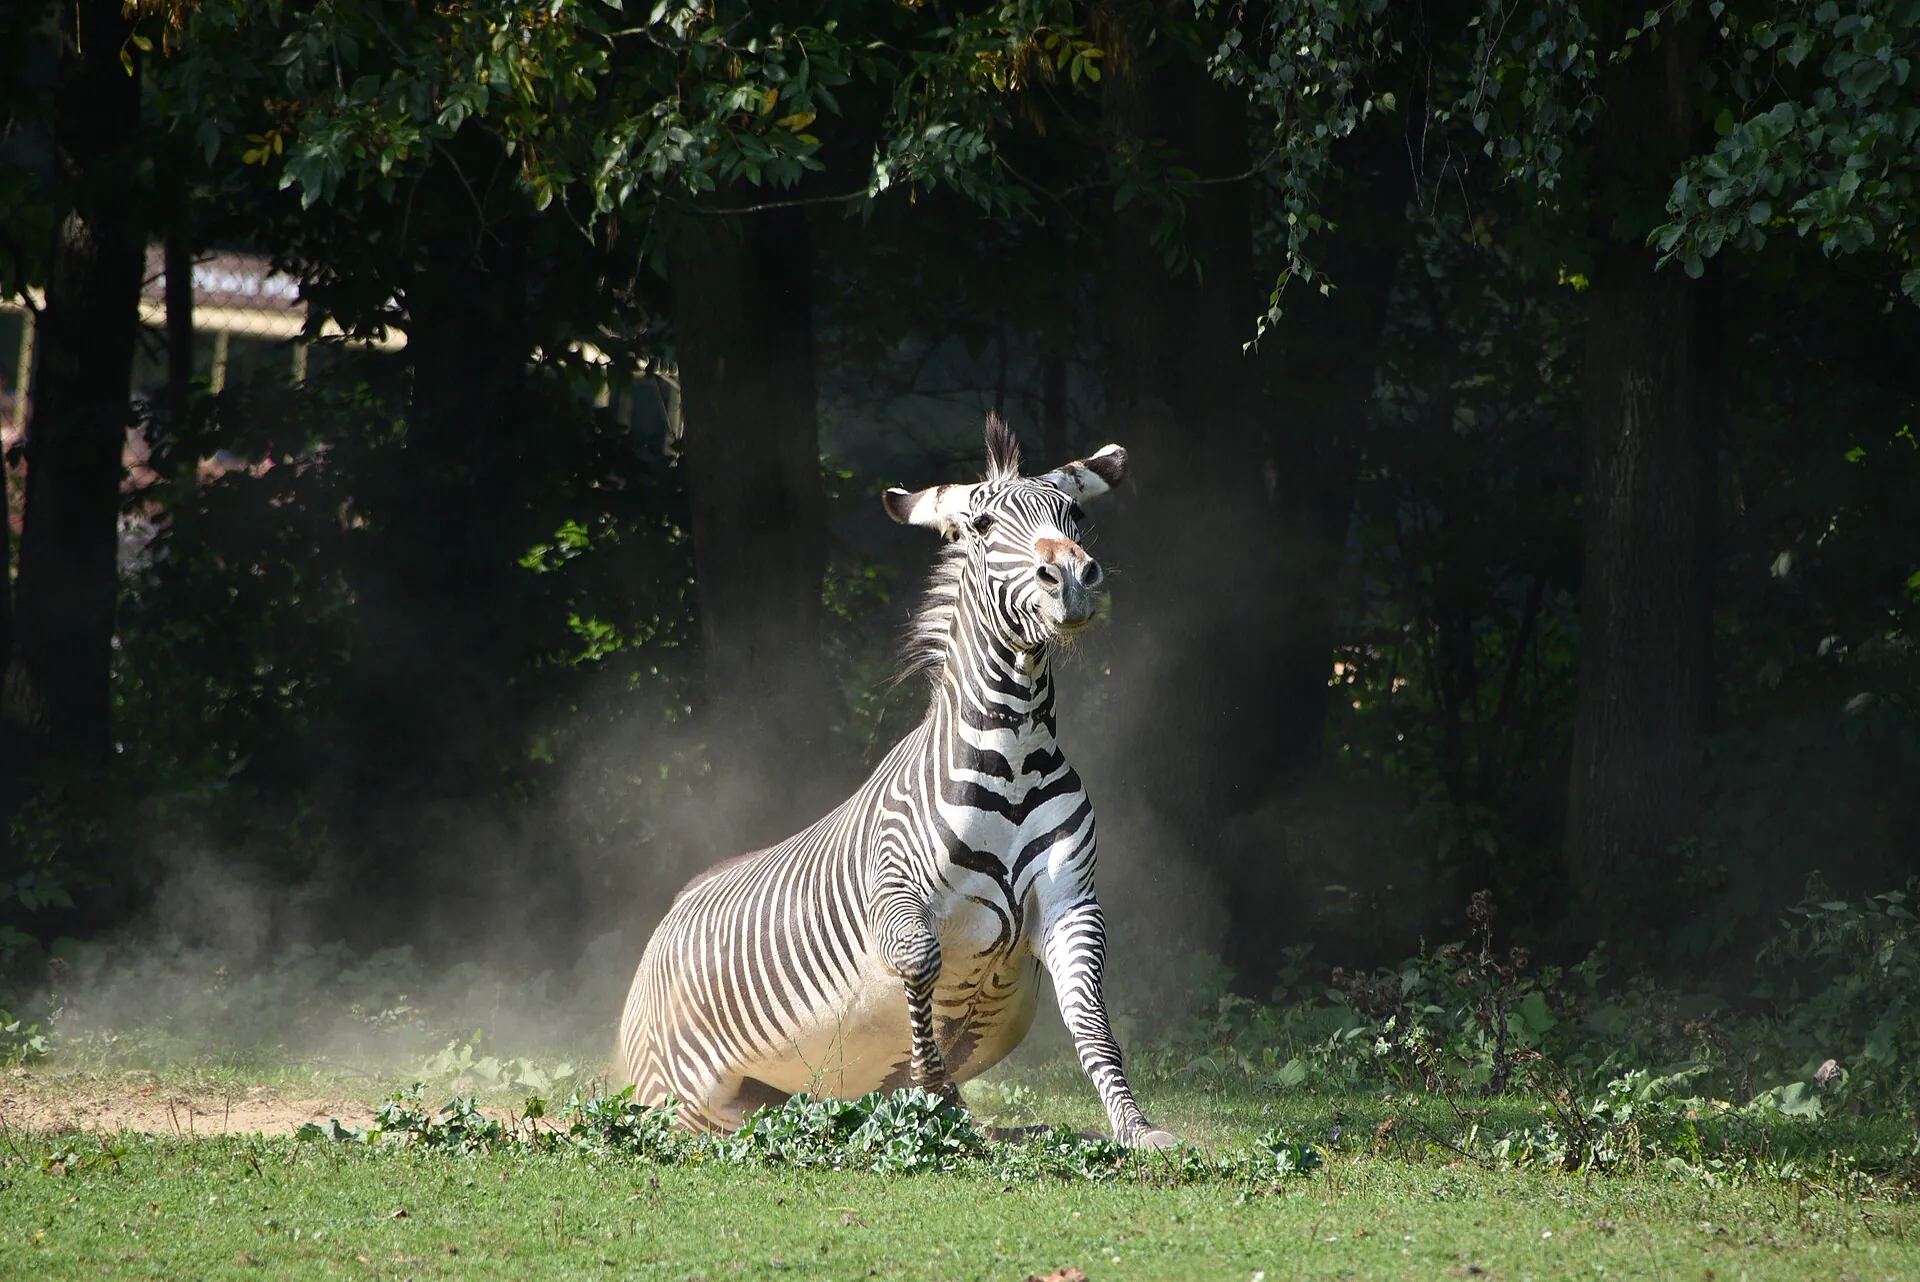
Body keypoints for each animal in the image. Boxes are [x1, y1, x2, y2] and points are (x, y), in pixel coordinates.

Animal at [619, 414, 1177, 1148]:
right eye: (982, 525)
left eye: (1075, 514)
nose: (1072, 580)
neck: (1015, 752)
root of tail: (666, 920)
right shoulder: (893, 887)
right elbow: (920, 964)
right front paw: (939, 1098)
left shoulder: (1072, 901)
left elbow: (1091, 1019)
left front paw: (1136, 1128)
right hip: (685, 1098)